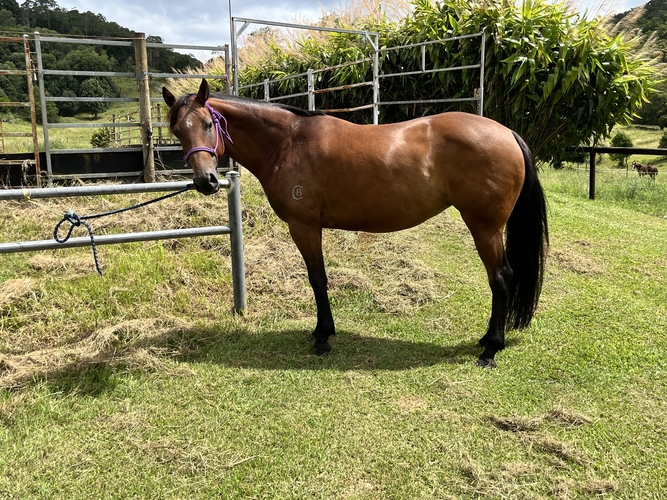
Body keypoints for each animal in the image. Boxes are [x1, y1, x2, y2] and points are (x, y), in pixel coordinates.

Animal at [162, 79, 548, 368]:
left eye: (209, 124)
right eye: (177, 131)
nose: (206, 182)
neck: (287, 142)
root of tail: (507, 133)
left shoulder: (304, 226)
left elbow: (317, 279)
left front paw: (322, 336)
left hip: (485, 227)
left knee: (500, 278)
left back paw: (491, 347)